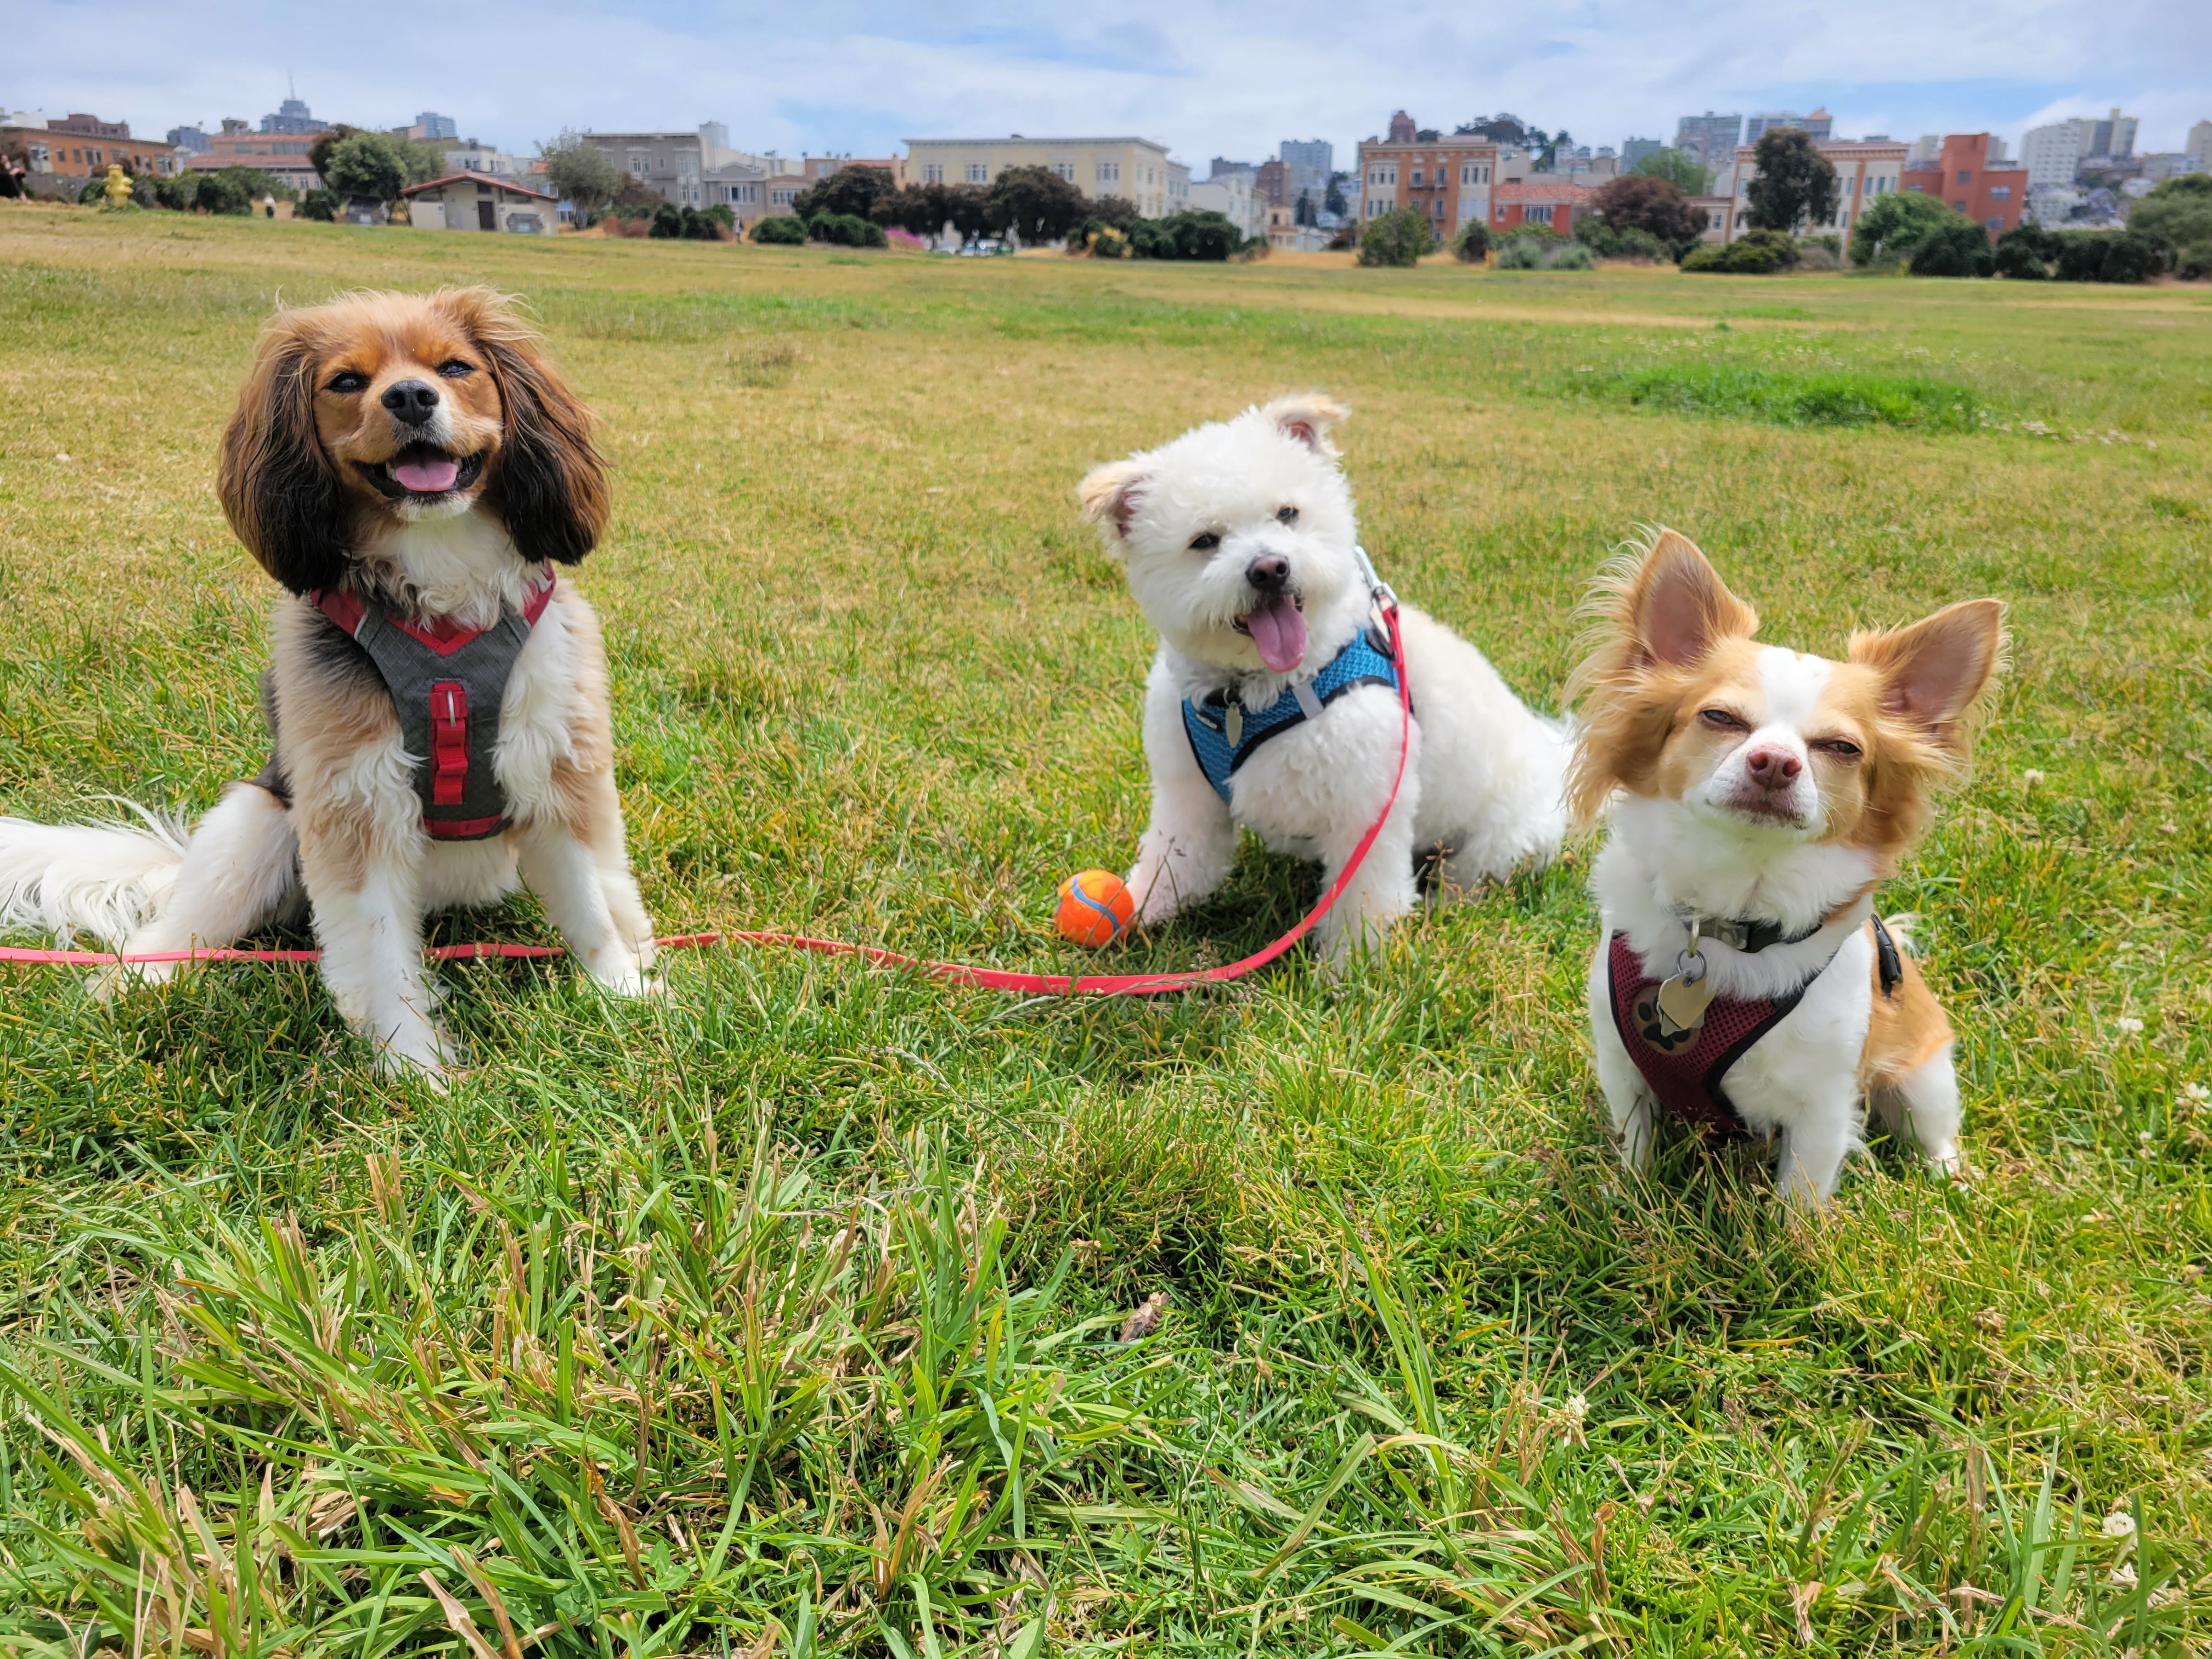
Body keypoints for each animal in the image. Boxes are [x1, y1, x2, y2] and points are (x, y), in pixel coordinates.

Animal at [0, 287, 657, 1080]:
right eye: (347, 381)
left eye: (456, 367)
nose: (410, 396)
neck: (441, 570)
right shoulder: (356, 803)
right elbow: (380, 956)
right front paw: (418, 1072)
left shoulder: (555, 768)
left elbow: (591, 907)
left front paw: (624, 995)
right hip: (252, 831)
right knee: (177, 930)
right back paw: (138, 984)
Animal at [1077, 396, 1568, 964]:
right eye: (1204, 541)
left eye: (1288, 514)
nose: (1270, 568)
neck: (1257, 694)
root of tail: (1558, 755)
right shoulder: (1188, 800)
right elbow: (1176, 863)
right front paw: (1137, 912)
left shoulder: (1368, 810)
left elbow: (1363, 900)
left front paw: (1350, 968)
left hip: (1502, 843)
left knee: (1471, 875)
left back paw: (1441, 901)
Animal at [1566, 528, 2004, 1205]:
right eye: (1720, 718)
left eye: (1840, 748)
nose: (1775, 761)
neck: (1730, 919)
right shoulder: (1623, 1068)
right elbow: (1635, 1144)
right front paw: (1629, 1196)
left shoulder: (1823, 1108)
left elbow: (1799, 1197)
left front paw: (1793, 1233)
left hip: (1923, 1077)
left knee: (1934, 1132)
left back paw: (1950, 1178)